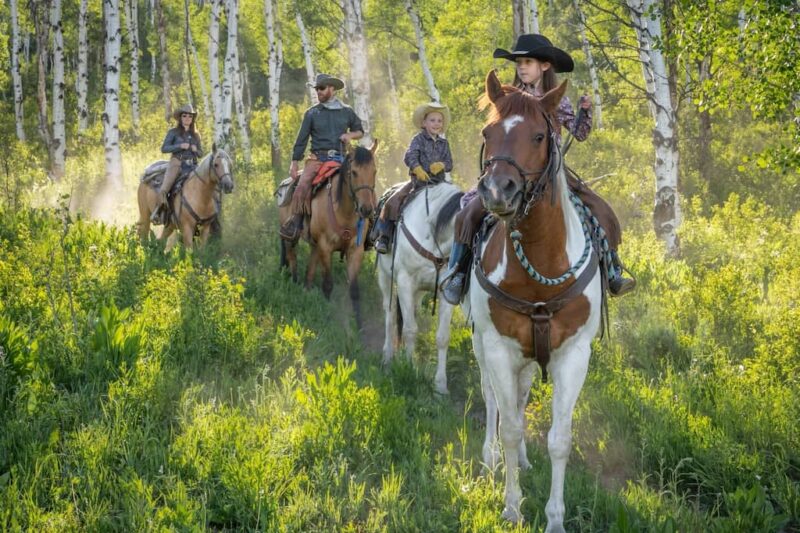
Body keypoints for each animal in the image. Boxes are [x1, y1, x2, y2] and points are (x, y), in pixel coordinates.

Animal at [280, 141, 380, 326]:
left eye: (374, 171)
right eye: (354, 172)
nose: (366, 209)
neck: (343, 211)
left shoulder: (355, 251)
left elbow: (354, 290)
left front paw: (359, 325)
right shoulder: (325, 248)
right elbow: (328, 284)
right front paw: (327, 313)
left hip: (314, 245)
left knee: (310, 268)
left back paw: (306, 289)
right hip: (290, 238)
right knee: (292, 258)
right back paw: (294, 283)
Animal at [376, 181, 462, 392]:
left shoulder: (445, 291)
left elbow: (442, 337)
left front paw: (440, 385)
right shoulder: (405, 282)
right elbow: (409, 330)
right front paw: (409, 368)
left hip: (418, 292)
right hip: (384, 276)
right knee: (390, 314)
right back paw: (387, 356)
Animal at [466, 69, 604, 528]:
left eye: (540, 135)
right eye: (488, 132)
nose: (498, 191)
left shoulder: (574, 354)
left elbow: (559, 439)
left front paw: (555, 518)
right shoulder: (498, 347)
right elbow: (508, 425)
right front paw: (512, 508)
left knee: (522, 397)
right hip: (483, 345)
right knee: (494, 399)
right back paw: (491, 459)